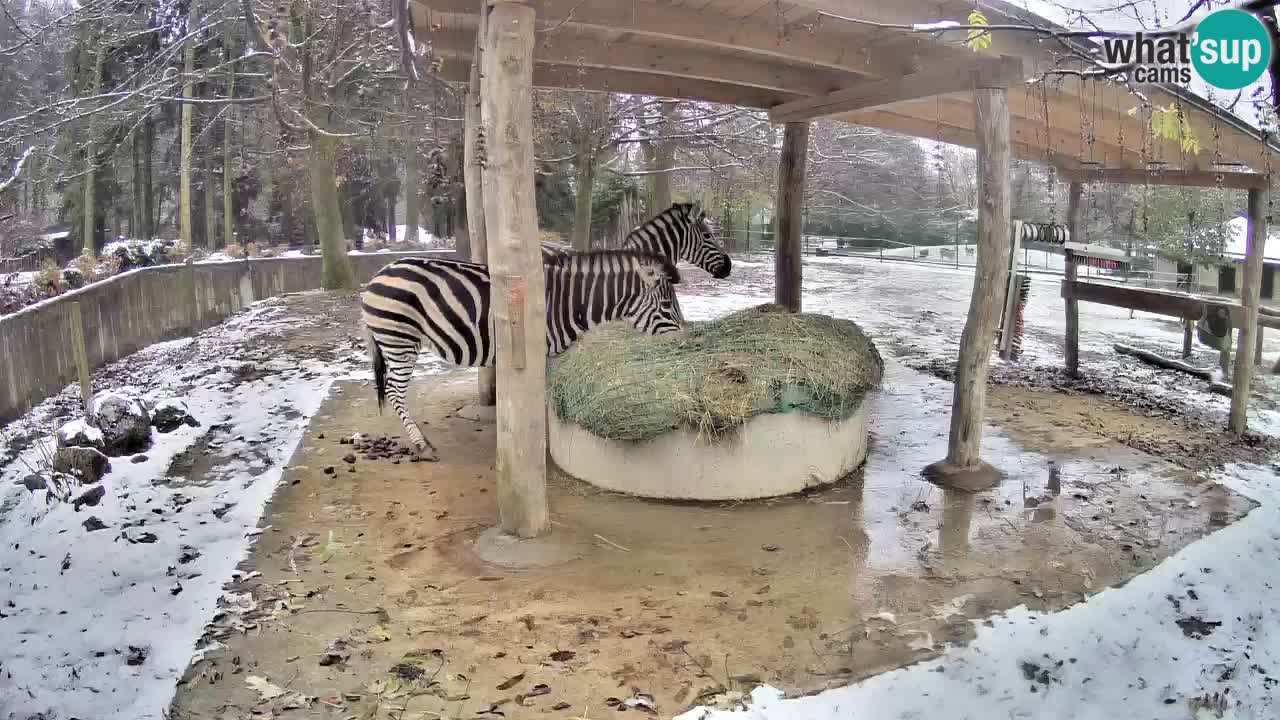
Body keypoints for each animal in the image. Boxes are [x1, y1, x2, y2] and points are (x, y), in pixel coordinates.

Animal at [360, 249, 686, 456]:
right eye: (666, 306)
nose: (683, 341)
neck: (568, 302)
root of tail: (379, 273)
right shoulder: (540, 350)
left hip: (398, 340)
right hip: (398, 339)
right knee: (394, 391)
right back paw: (421, 444)